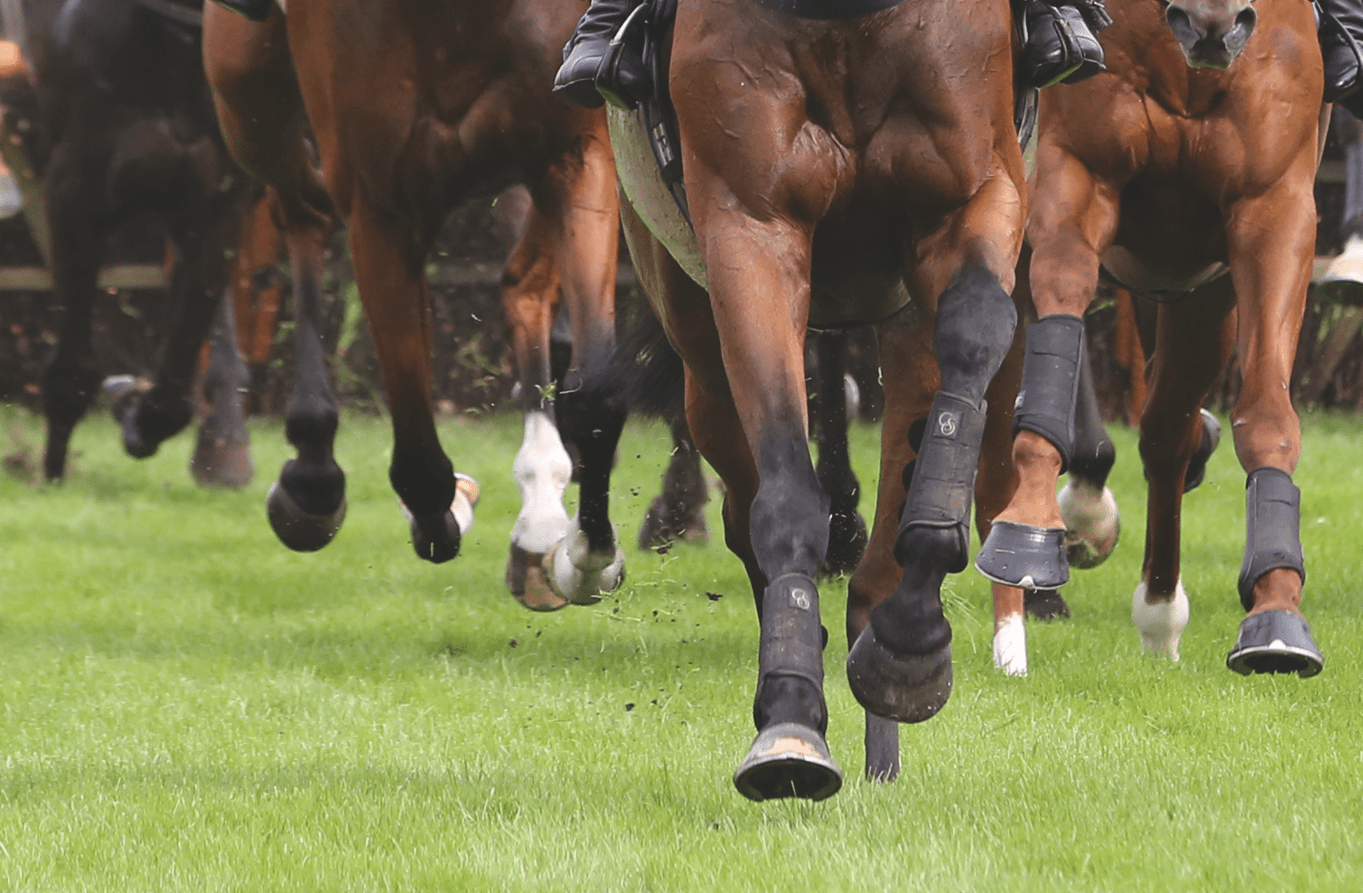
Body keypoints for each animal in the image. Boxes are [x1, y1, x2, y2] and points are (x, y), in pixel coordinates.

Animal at [203, 0, 633, 609]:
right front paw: (445, 506)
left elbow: (598, 391)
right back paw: (313, 468)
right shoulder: (382, 209)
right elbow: (419, 461)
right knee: (305, 212)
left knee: (523, 285)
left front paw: (588, 556)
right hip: (243, 96)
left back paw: (540, 512)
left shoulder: (577, 156)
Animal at [606, 0, 1028, 798]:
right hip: (694, 332)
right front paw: (790, 714)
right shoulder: (749, 228)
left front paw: (910, 639)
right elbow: (784, 494)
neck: (844, 21)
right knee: (739, 491)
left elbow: (973, 339)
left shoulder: (972, 195)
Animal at [977, 0, 1327, 676]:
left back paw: (1157, 613)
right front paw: (1030, 532)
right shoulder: (1077, 174)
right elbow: (1056, 337)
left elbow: (1262, 415)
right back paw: (1012, 624)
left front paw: (1276, 613)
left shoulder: (1270, 212)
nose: (1213, 24)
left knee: (1166, 432)